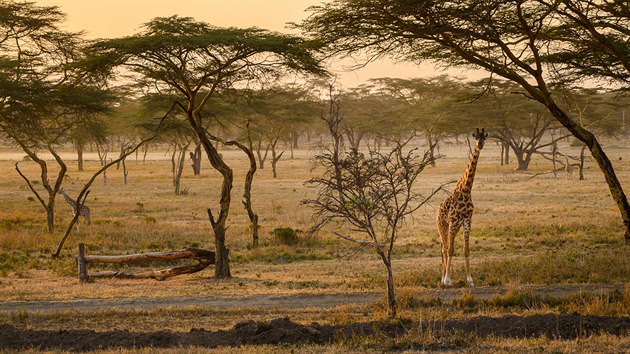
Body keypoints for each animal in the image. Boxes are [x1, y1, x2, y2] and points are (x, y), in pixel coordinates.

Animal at [440, 129, 488, 286]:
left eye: (484, 138)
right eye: (476, 137)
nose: (480, 145)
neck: (466, 191)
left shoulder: (467, 221)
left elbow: (466, 250)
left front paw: (469, 280)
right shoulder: (454, 221)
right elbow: (450, 250)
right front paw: (448, 279)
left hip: (454, 227)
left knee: (445, 247)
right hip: (443, 226)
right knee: (444, 248)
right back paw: (443, 279)